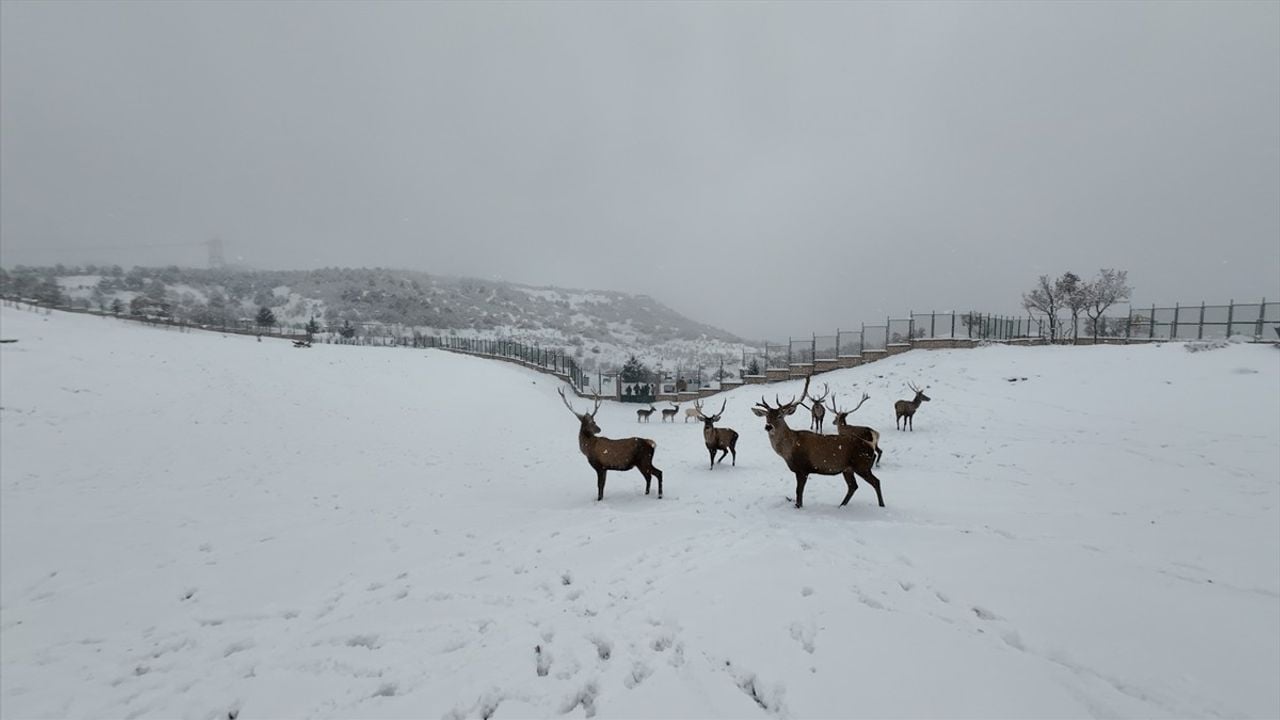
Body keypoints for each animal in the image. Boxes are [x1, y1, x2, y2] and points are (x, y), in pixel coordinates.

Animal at [747, 371, 885, 507]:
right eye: (766, 417)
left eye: (780, 416)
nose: (768, 426)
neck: (788, 451)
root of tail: (870, 445)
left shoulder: (803, 469)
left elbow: (799, 493)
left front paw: (799, 506)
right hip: (848, 469)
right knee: (853, 486)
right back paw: (841, 505)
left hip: (861, 464)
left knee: (876, 481)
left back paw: (881, 505)